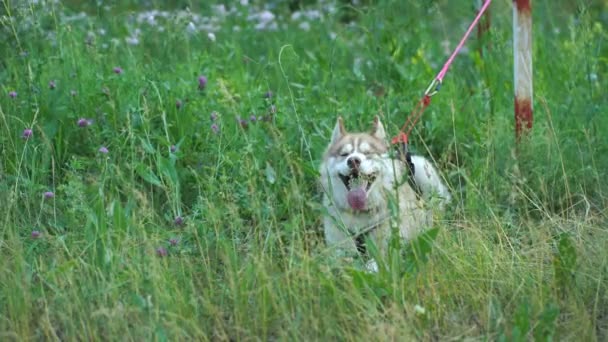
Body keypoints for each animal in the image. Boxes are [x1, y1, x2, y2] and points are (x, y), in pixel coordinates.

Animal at [320, 117, 448, 268]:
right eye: (344, 154)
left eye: (367, 153)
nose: (353, 161)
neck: (360, 216)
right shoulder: (338, 246)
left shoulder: (389, 247)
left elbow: (376, 263)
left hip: (423, 169)